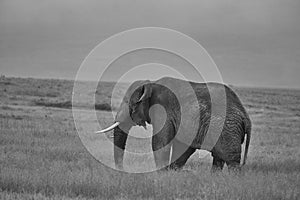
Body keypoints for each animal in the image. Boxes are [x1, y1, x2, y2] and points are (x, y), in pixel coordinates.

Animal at [98, 77, 251, 172]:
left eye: (128, 103)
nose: (122, 170)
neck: (151, 83)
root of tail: (246, 117)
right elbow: (182, 147)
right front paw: (172, 173)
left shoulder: (163, 109)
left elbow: (160, 143)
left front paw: (162, 174)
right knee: (218, 158)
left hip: (228, 128)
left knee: (231, 160)